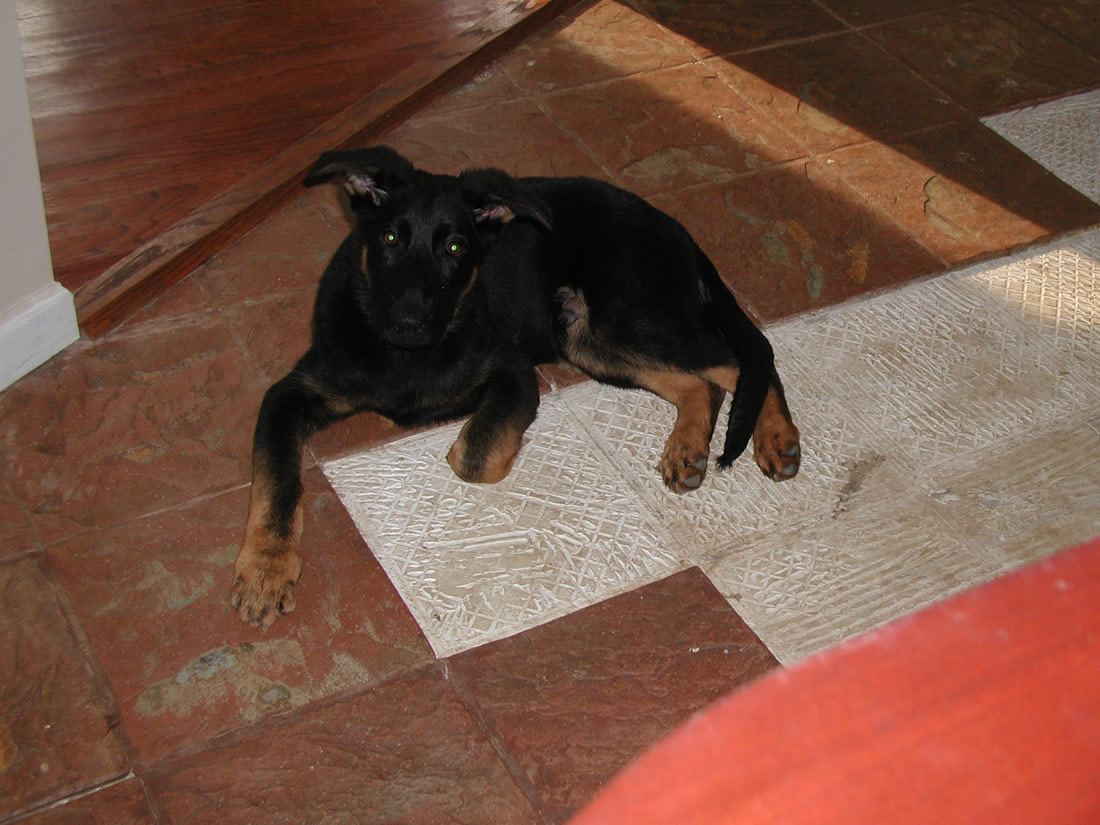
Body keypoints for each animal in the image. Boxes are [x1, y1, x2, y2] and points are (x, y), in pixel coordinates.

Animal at [231, 146, 800, 626]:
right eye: (389, 238)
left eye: (456, 247)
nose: (410, 323)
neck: (407, 356)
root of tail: (676, 229)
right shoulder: (289, 395)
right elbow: (277, 484)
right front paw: (266, 571)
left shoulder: (513, 373)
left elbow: (473, 455)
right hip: (591, 341)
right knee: (703, 384)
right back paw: (687, 449)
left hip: (626, 321)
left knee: (747, 358)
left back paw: (776, 438)